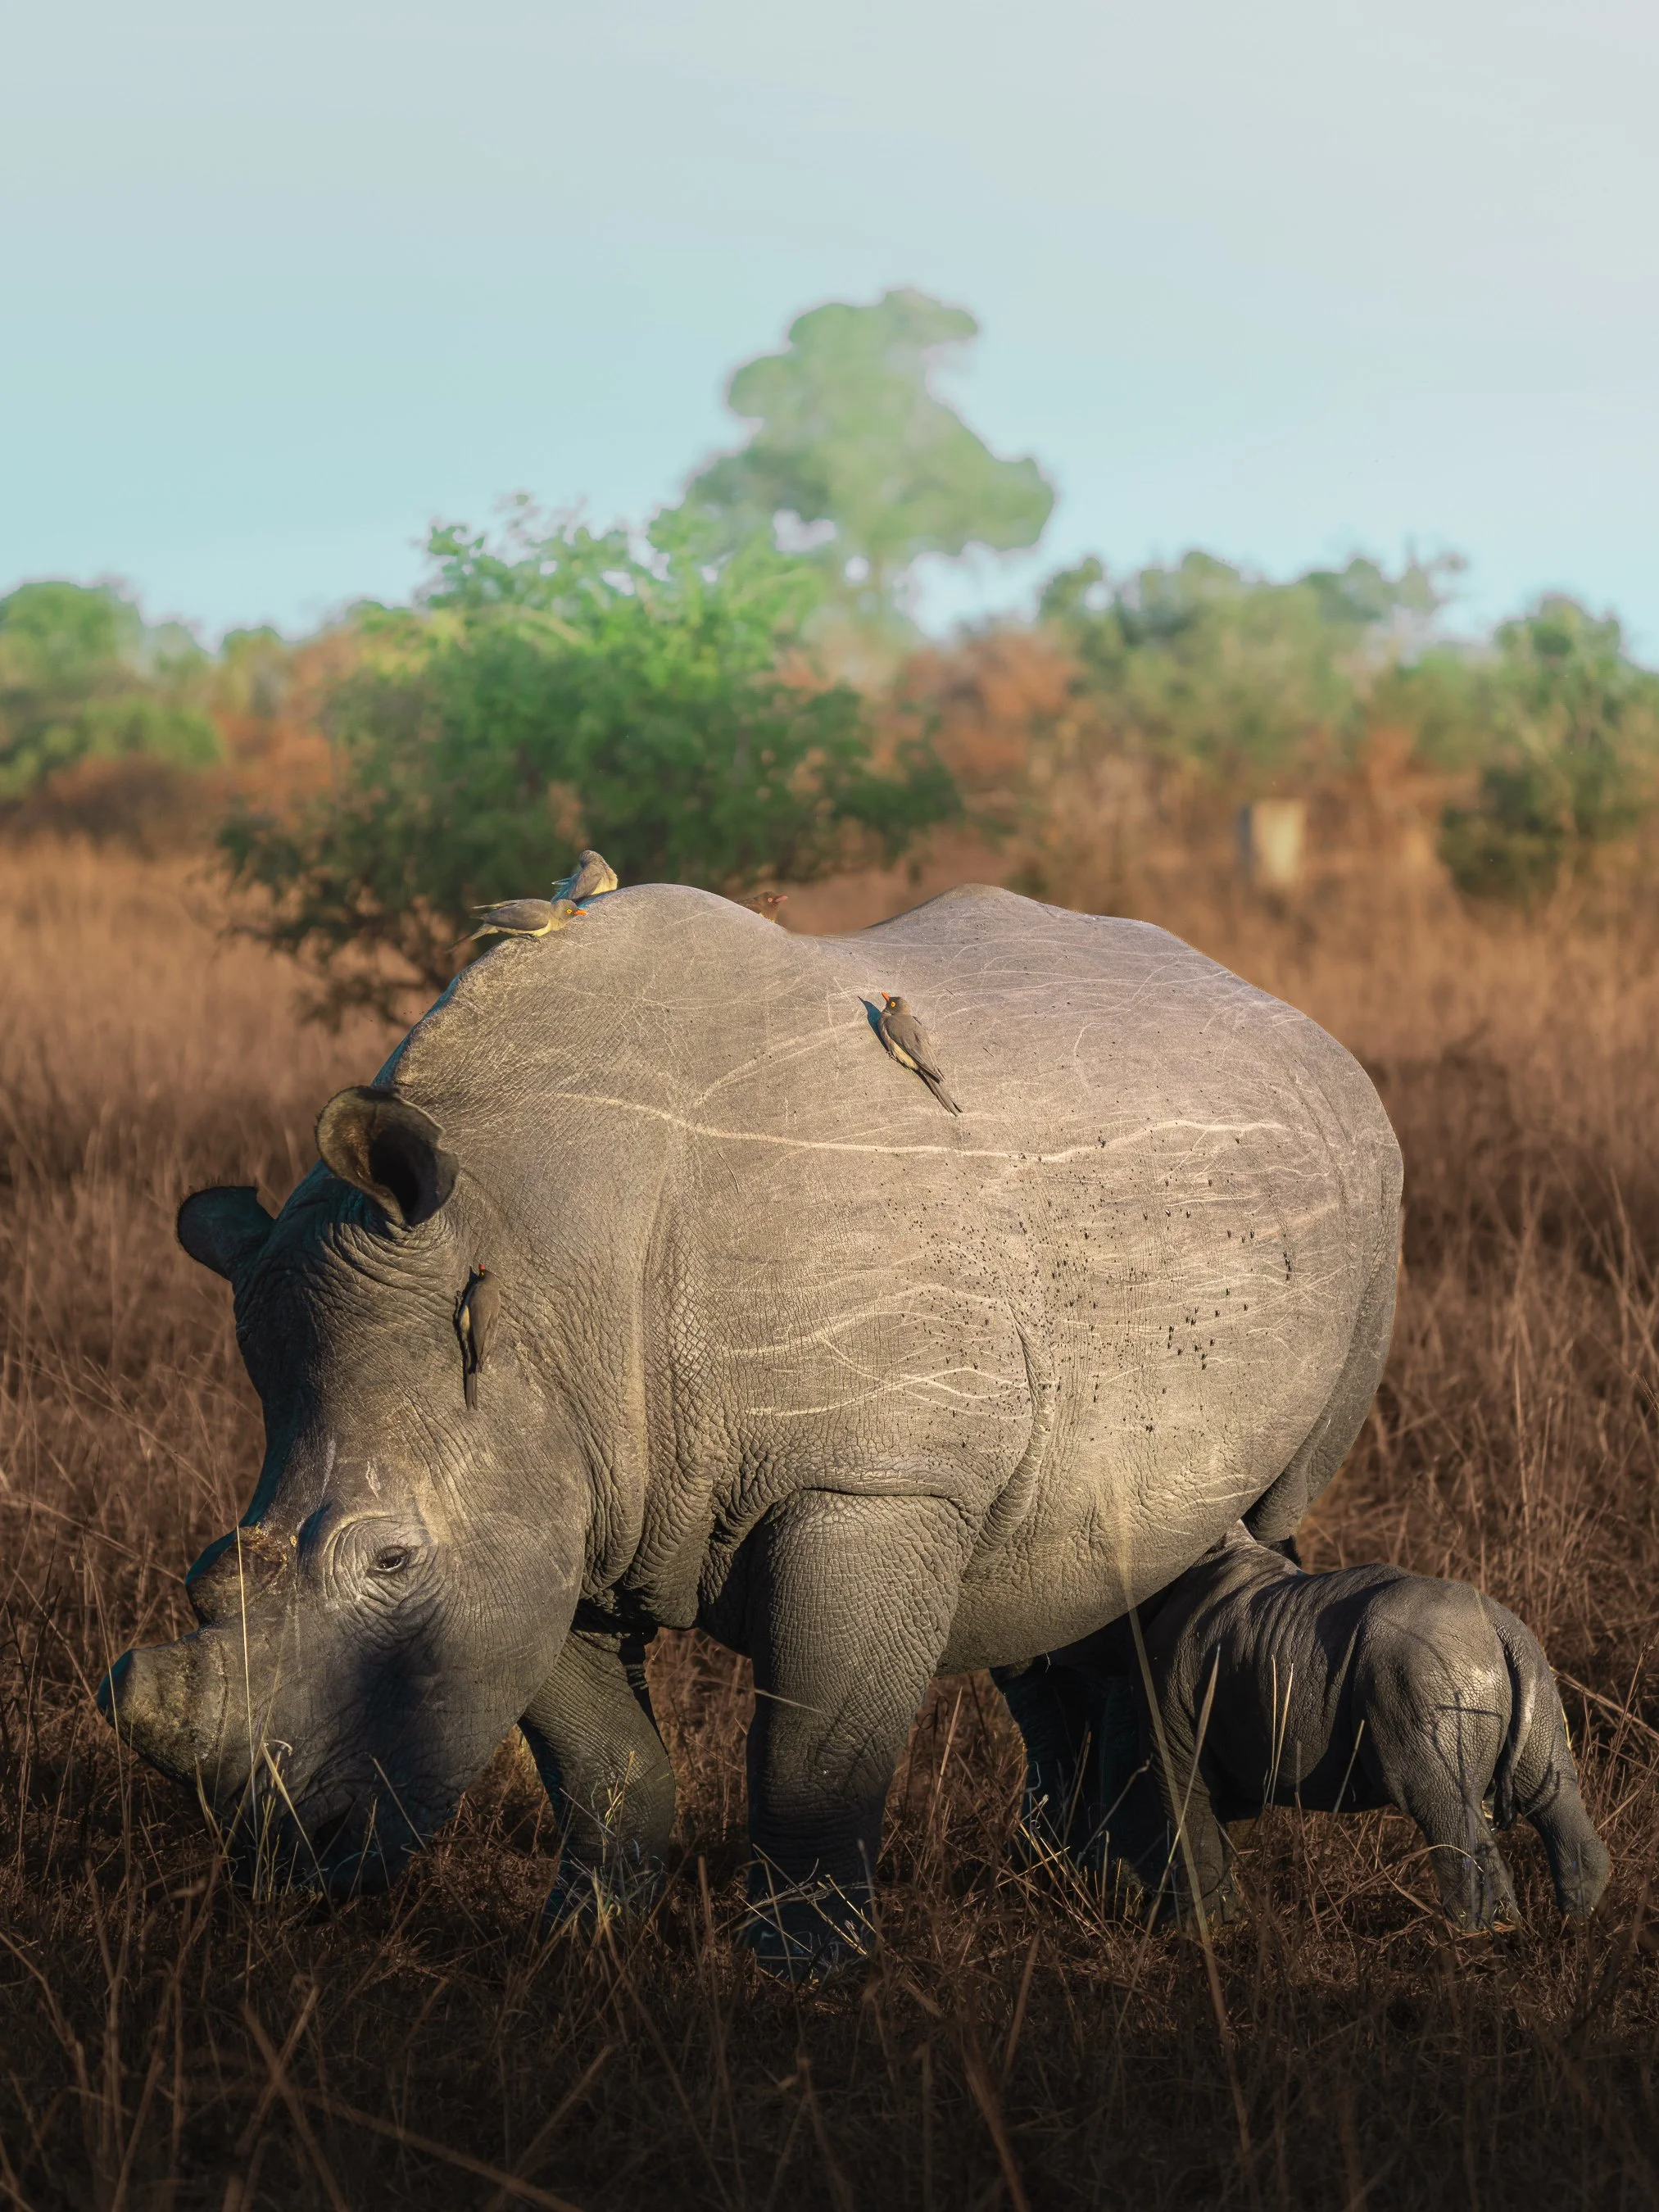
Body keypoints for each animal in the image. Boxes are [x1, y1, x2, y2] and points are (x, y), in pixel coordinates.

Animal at [99, 882, 1403, 1971]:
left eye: (391, 1561)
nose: (286, 1860)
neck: (530, 1264)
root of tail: (1283, 1011)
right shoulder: (557, 1496)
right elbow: (601, 1761)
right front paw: (583, 1948)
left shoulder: (871, 1478)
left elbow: (812, 1755)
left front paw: (806, 1979)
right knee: (1079, 1563)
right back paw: (1127, 1896)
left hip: (1373, 1197)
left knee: (1255, 1523)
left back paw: (1192, 1924)